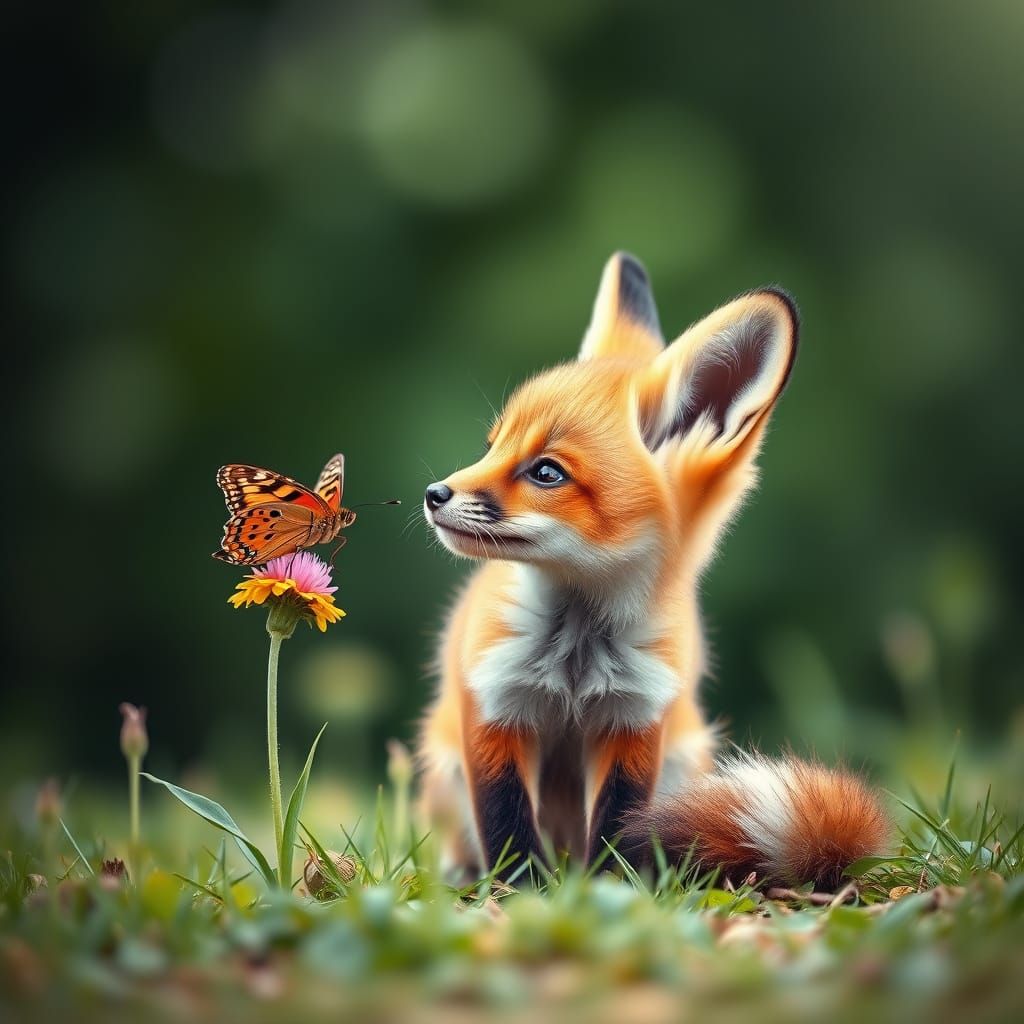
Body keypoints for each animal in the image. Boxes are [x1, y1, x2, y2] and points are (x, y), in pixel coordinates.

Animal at [417, 252, 889, 888]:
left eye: (546, 472)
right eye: (492, 445)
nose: (433, 494)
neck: (576, 656)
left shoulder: (636, 719)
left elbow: (622, 822)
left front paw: (609, 891)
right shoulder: (494, 704)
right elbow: (506, 824)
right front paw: (521, 894)